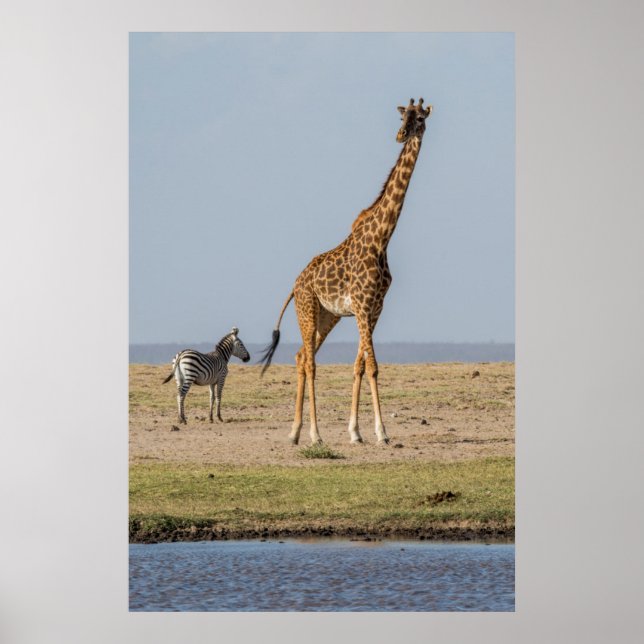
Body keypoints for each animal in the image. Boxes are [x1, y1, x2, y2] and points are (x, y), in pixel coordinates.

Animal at [259, 98, 432, 445]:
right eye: (402, 117)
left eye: (419, 118)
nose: (400, 135)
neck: (382, 238)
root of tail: (295, 285)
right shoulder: (363, 307)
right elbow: (374, 366)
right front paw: (381, 432)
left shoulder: (374, 309)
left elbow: (360, 366)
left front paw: (355, 431)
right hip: (308, 310)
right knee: (310, 361)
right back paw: (314, 434)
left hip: (328, 316)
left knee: (300, 357)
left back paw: (295, 432)